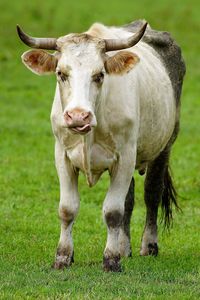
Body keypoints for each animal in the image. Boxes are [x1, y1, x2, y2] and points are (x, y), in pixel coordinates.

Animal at [16, 18, 185, 272]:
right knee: (130, 198)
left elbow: (113, 211)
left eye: (100, 74)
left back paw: (148, 245)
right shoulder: (62, 155)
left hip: (165, 145)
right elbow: (67, 209)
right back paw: (124, 247)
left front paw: (111, 259)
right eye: (60, 73)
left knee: (151, 193)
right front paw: (63, 256)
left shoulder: (125, 156)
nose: (78, 116)